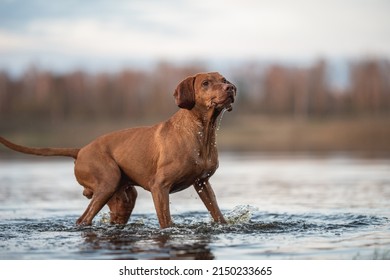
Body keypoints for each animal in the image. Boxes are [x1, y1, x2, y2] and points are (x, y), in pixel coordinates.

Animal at [0, 71, 236, 228]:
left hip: (123, 198)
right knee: (83, 219)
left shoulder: (202, 183)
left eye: (224, 80)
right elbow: (166, 223)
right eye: (205, 83)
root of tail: (81, 150)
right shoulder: (160, 187)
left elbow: (218, 215)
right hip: (108, 181)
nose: (231, 88)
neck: (202, 133)